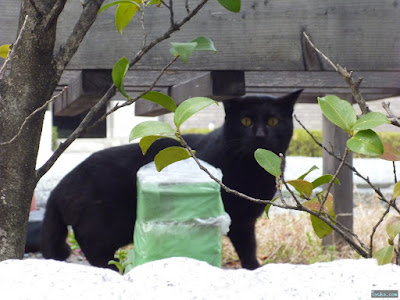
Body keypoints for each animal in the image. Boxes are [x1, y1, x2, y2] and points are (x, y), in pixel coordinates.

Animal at [41, 89, 300, 270]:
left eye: (273, 121)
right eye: (246, 121)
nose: (260, 135)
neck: (254, 168)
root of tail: (60, 186)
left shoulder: (246, 220)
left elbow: (249, 246)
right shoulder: (238, 220)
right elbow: (247, 247)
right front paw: (255, 268)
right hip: (109, 223)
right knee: (91, 245)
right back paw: (113, 269)